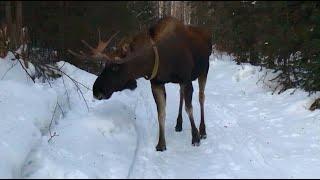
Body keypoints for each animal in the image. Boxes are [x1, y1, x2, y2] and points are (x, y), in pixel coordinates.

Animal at [68, 16, 212, 151]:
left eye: (115, 67)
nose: (96, 90)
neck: (160, 59)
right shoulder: (157, 83)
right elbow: (161, 114)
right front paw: (161, 144)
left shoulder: (186, 79)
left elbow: (189, 108)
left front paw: (196, 138)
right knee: (181, 95)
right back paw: (179, 124)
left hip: (204, 70)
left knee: (201, 97)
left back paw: (203, 130)